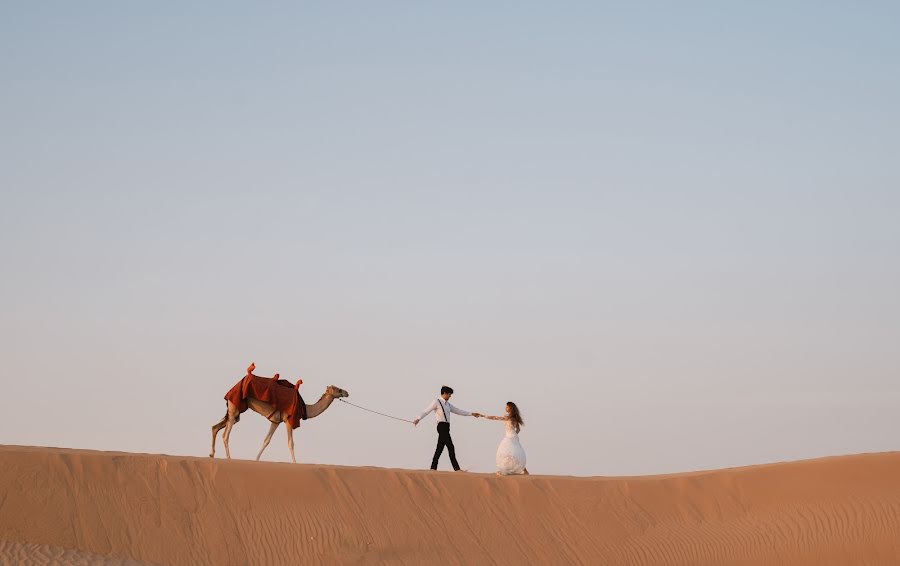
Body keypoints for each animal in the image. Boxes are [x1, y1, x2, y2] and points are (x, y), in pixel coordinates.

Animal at [212, 368, 352, 466]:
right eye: (338, 389)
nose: (347, 392)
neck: (305, 408)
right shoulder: (288, 420)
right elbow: (291, 443)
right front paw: (295, 463)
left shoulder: (275, 421)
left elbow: (266, 440)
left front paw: (256, 460)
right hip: (234, 407)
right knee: (225, 435)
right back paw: (229, 458)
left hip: (236, 411)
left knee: (215, 427)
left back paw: (212, 454)